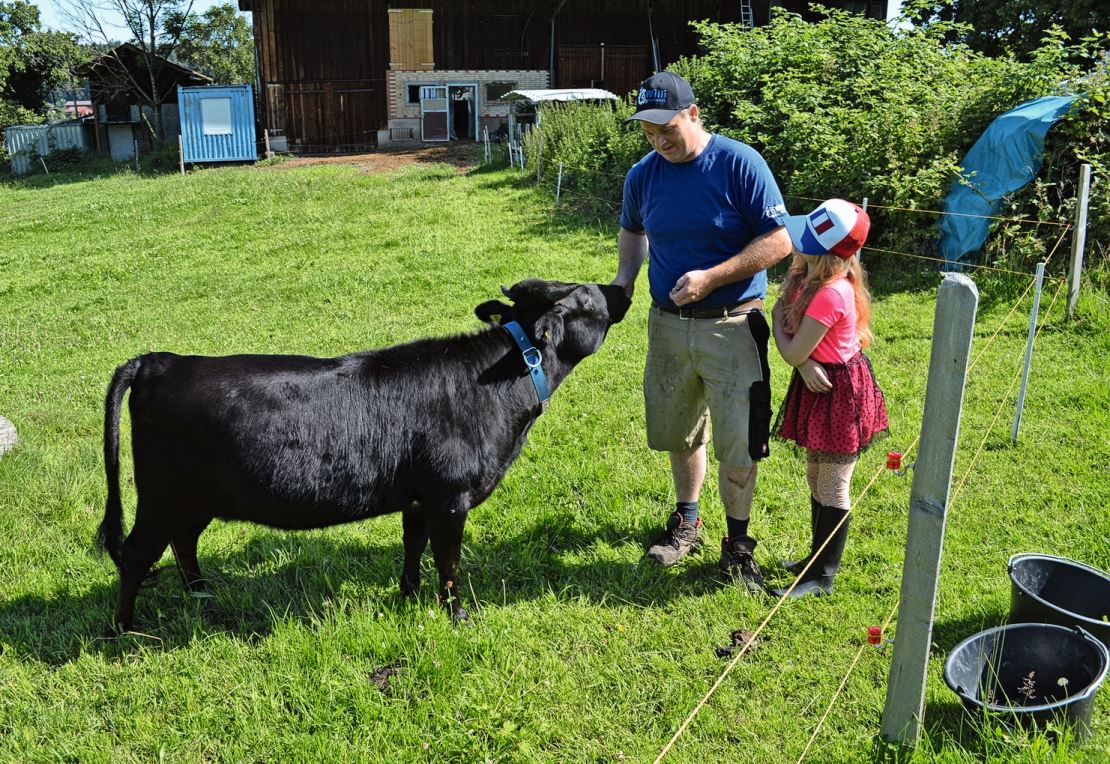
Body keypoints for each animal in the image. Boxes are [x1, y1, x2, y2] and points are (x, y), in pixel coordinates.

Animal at [95, 278, 634, 626]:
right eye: (588, 295)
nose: (622, 288)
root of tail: (158, 361)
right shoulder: (449, 496)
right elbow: (449, 561)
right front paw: (457, 614)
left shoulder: (419, 496)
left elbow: (414, 547)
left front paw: (408, 595)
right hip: (162, 497)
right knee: (137, 554)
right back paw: (124, 629)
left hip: (193, 499)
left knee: (184, 543)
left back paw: (203, 596)